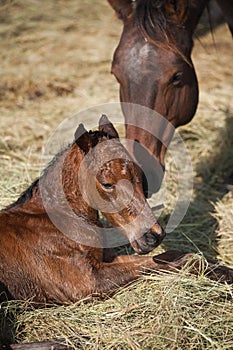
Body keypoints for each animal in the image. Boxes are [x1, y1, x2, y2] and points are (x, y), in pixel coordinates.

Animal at [0, 115, 232, 304]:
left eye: (140, 176)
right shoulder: (87, 282)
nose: (153, 236)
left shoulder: (106, 260)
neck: (59, 220)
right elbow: (172, 262)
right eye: (106, 183)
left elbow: (172, 255)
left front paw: (222, 270)